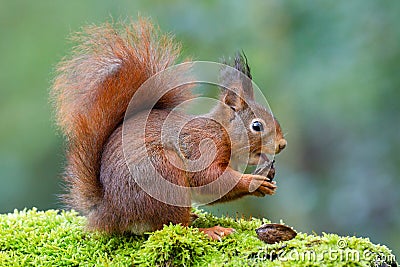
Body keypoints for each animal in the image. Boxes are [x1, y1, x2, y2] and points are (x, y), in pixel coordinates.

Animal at [51, 18, 286, 241]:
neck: (220, 131)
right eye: (256, 126)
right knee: (174, 225)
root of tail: (111, 211)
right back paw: (209, 231)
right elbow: (207, 178)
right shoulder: (200, 145)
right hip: (165, 176)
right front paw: (253, 181)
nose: (282, 144)